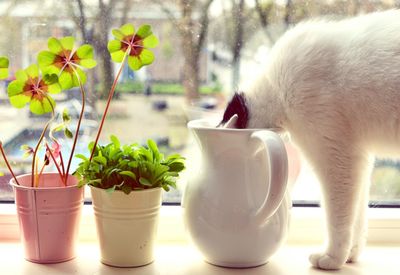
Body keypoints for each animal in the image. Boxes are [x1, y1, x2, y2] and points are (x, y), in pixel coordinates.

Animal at [220, 9, 400, 270]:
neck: (277, 87)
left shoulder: (337, 157)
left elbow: (338, 217)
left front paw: (333, 258)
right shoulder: (360, 158)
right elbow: (357, 215)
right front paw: (350, 255)